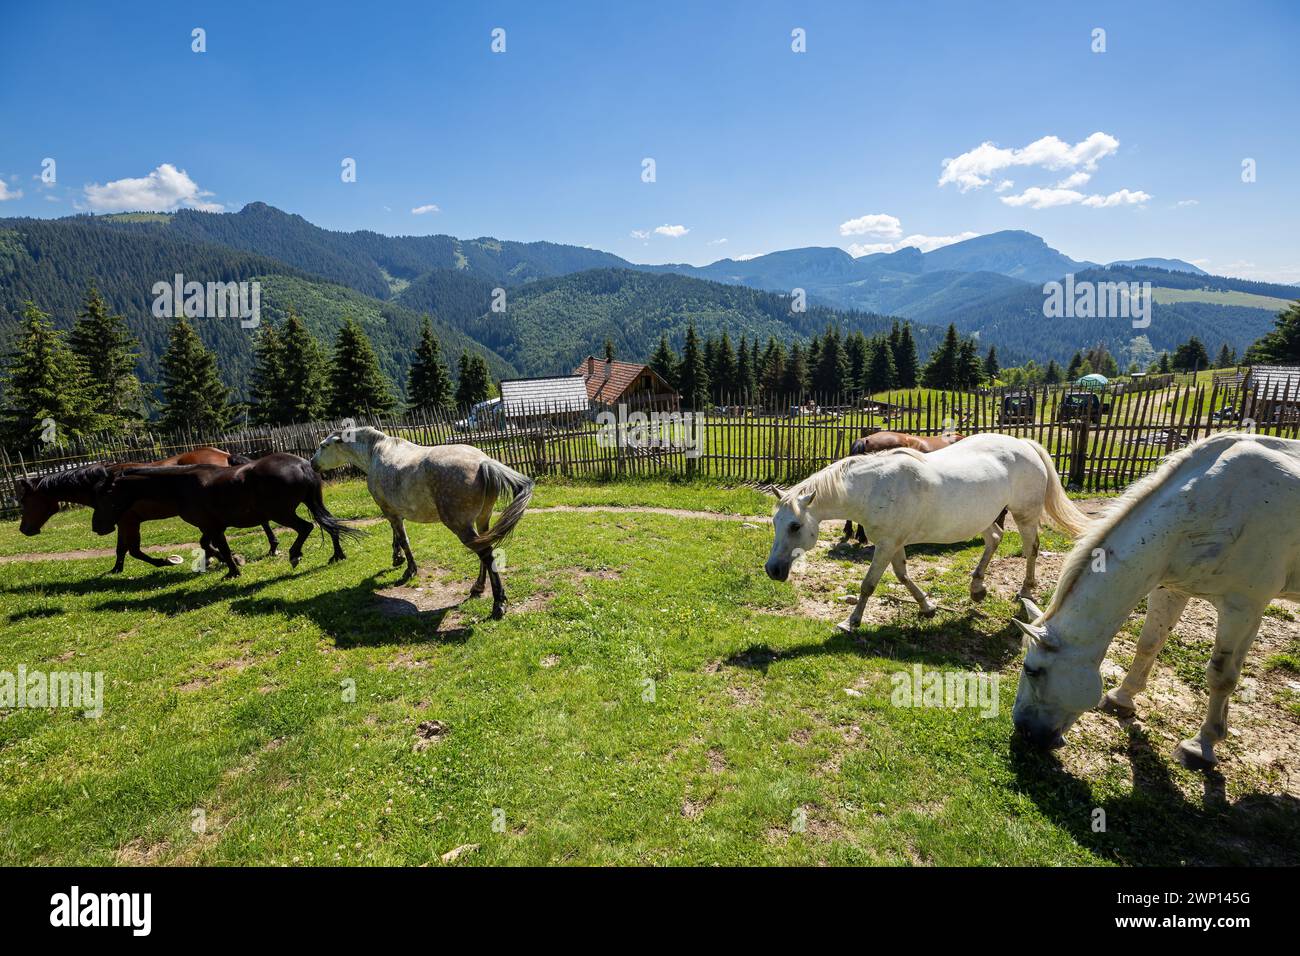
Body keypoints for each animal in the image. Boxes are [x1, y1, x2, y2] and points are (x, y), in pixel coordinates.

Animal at [15, 447, 281, 572]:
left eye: (25, 502)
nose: (24, 529)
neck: (104, 482)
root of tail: (223, 454)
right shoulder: (124, 522)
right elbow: (121, 549)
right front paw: (116, 570)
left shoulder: (128, 521)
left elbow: (133, 550)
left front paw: (166, 561)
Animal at [90, 453, 359, 578]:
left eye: (104, 498)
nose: (97, 528)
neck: (181, 485)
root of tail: (302, 464)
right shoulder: (211, 526)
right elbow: (208, 545)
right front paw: (230, 563)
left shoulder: (212, 526)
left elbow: (220, 547)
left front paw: (233, 569)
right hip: (312, 503)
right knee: (331, 526)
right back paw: (337, 555)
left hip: (282, 513)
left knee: (307, 528)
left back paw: (295, 555)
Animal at [310, 426, 533, 620]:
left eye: (324, 445)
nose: (312, 463)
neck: (376, 452)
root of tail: (483, 461)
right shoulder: (395, 512)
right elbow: (396, 536)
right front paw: (397, 558)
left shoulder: (389, 512)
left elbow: (403, 539)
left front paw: (409, 569)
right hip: (481, 521)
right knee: (486, 553)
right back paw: (478, 588)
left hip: (462, 527)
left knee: (486, 555)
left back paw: (498, 604)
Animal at [766, 433, 1090, 633]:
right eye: (774, 522)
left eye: (795, 526)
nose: (772, 570)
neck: (874, 487)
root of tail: (1024, 444)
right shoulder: (892, 543)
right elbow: (902, 576)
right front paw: (927, 606)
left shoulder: (886, 545)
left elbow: (868, 584)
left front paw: (851, 622)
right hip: (982, 517)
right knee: (995, 538)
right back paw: (977, 588)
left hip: (1025, 516)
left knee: (1031, 547)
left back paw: (1026, 590)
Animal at [1012, 433, 1300, 770]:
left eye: (1032, 670)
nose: (1024, 731)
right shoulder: (1170, 589)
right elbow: (1149, 643)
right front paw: (1122, 698)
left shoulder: (1243, 608)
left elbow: (1221, 676)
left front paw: (1202, 744)